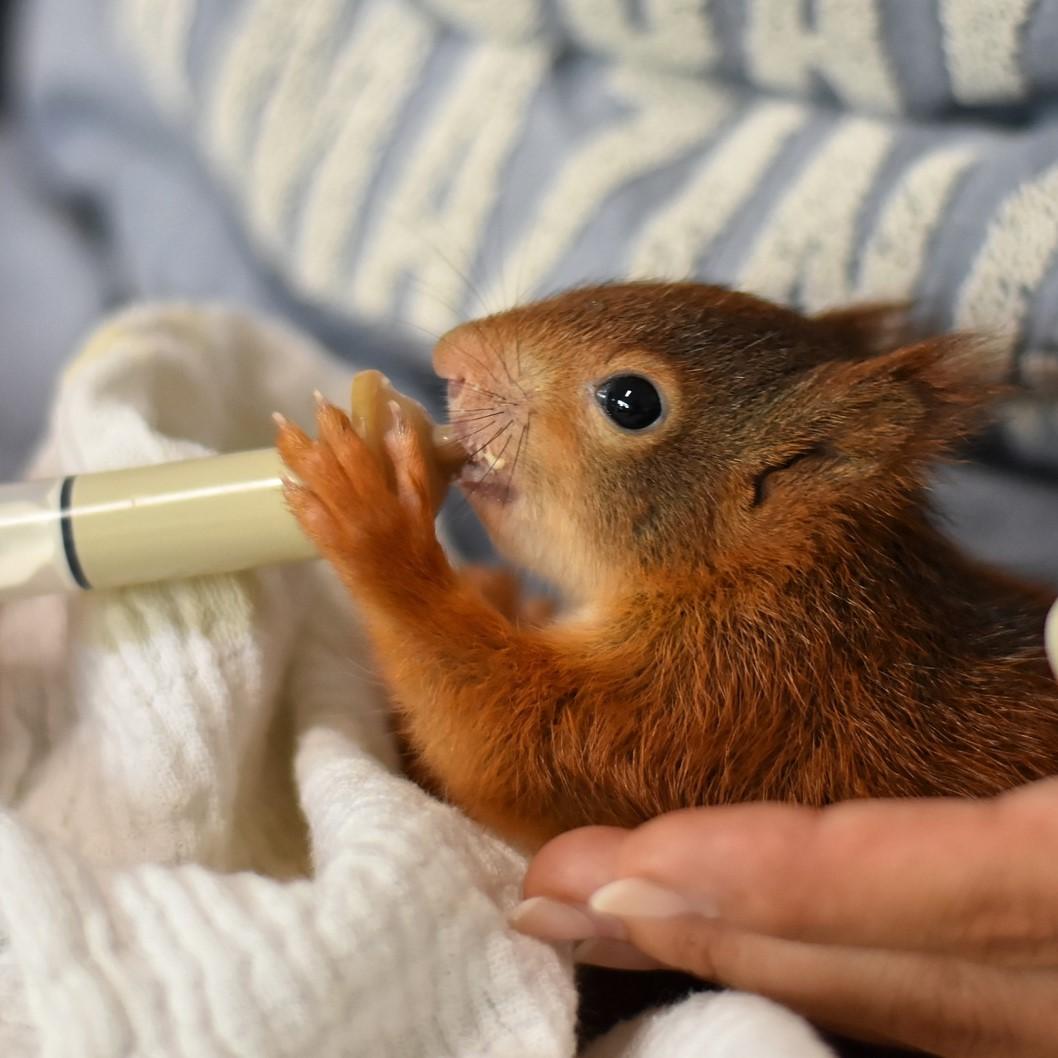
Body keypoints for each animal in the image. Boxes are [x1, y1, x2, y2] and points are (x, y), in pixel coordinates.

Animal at [276, 282, 1058, 853]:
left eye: (632, 401)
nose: (450, 357)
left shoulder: (731, 694)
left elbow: (507, 751)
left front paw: (372, 515)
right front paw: (501, 592)